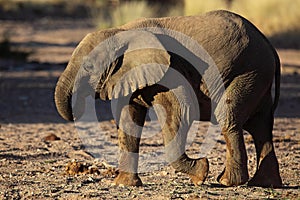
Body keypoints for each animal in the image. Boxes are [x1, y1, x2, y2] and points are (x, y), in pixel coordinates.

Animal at [55, 9, 282, 188]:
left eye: (88, 67)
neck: (120, 32)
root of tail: (268, 44)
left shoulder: (172, 71)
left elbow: (181, 111)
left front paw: (201, 173)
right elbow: (128, 121)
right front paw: (123, 185)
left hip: (250, 70)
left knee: (229, 116)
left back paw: (227, 182)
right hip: (257, 76)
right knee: (260, 126)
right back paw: (264, 183)